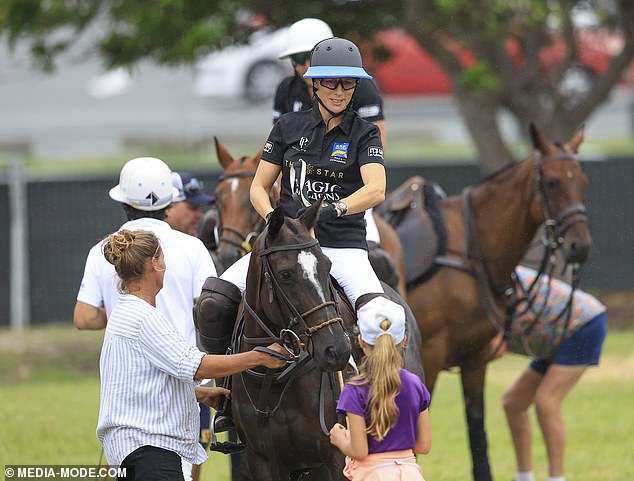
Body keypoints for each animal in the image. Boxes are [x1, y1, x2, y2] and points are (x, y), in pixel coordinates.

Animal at [382, 124, 592, 480]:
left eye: (582, 181)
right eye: (551, 182)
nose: (581, 246)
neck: (470, 251)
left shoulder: (475, 357)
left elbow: (477, 432)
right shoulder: (431, 356)